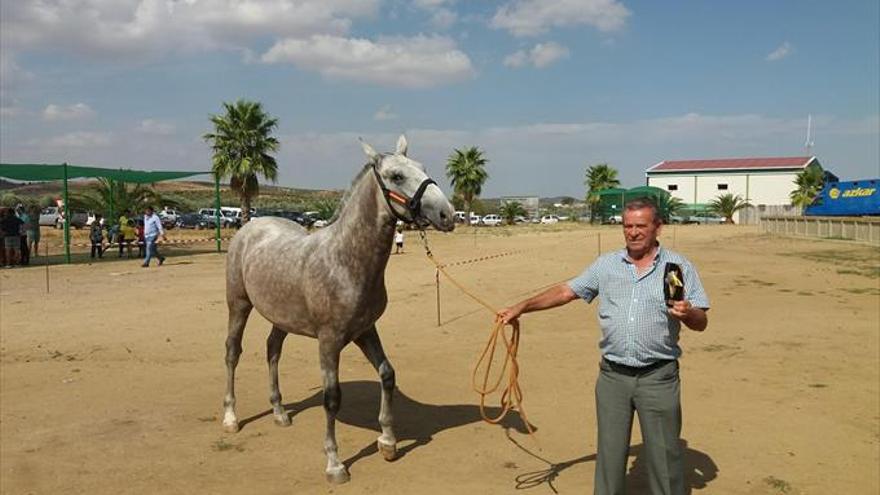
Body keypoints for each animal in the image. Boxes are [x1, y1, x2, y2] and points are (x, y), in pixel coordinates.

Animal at [222, 136, 454, 484]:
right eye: (397, 176)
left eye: (423, 167)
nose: (447, 214)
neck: (344, 261)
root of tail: (251, 226)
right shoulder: (329, 340)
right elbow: (332, 398)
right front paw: (334, 464)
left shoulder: (365, 330)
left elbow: (387, 374)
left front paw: (387, 442)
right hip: (238, 305)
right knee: (233, 353)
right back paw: (231, 417)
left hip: (281, 317)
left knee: (272, 350)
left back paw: (279, 412)